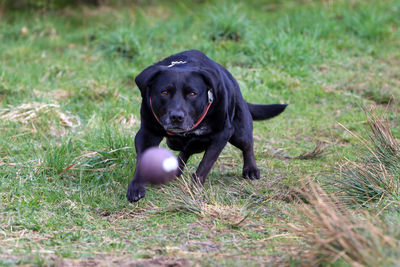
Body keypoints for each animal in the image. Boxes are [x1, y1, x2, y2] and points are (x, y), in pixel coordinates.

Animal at [126, 50, 286, 203]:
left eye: (192, 93)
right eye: (164, 92)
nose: (176, 117)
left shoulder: (221, 134)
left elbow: (205, 164)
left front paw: (195, 188)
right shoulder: (147, 133)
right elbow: (143, 160)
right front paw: (136, 187)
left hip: (239, 132)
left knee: (247, 146)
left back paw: (251, 169)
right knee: (185, 150)